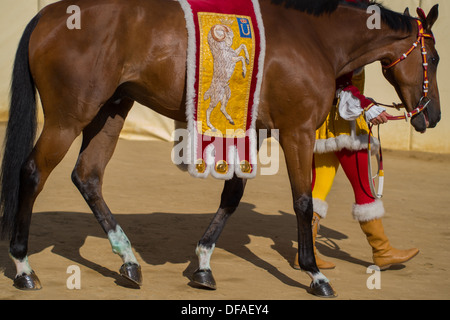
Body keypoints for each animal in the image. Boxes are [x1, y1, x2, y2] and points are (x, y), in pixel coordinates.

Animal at [0, 0, 442, 298]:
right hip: (68, 118)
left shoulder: (256, 130)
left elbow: (232, 194)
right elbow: (301, 200)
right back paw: (23, 266)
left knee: (88, 176)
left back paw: (127, 259)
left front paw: (203, 264)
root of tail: (47, 15)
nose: (433, 114)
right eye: (435, 57)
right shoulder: (297, 132)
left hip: (111, 109)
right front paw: (314, 272)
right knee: (33, 173)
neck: (312, 38)